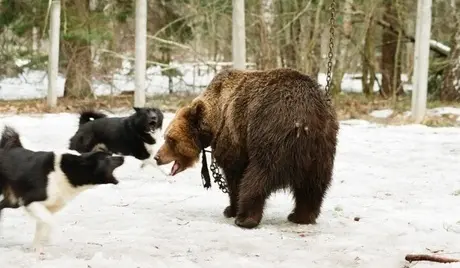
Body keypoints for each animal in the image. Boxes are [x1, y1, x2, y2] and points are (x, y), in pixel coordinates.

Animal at [155, 67, 338, 228]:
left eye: (170, 139)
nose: (157, 157)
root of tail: (306, 119)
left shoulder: (233, 136)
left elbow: (234, 174)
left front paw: (230, 209)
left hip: (271, 135)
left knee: (258, 176)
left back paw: (246, 218)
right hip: (321, 149)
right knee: (314, 185)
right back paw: (301, 216)